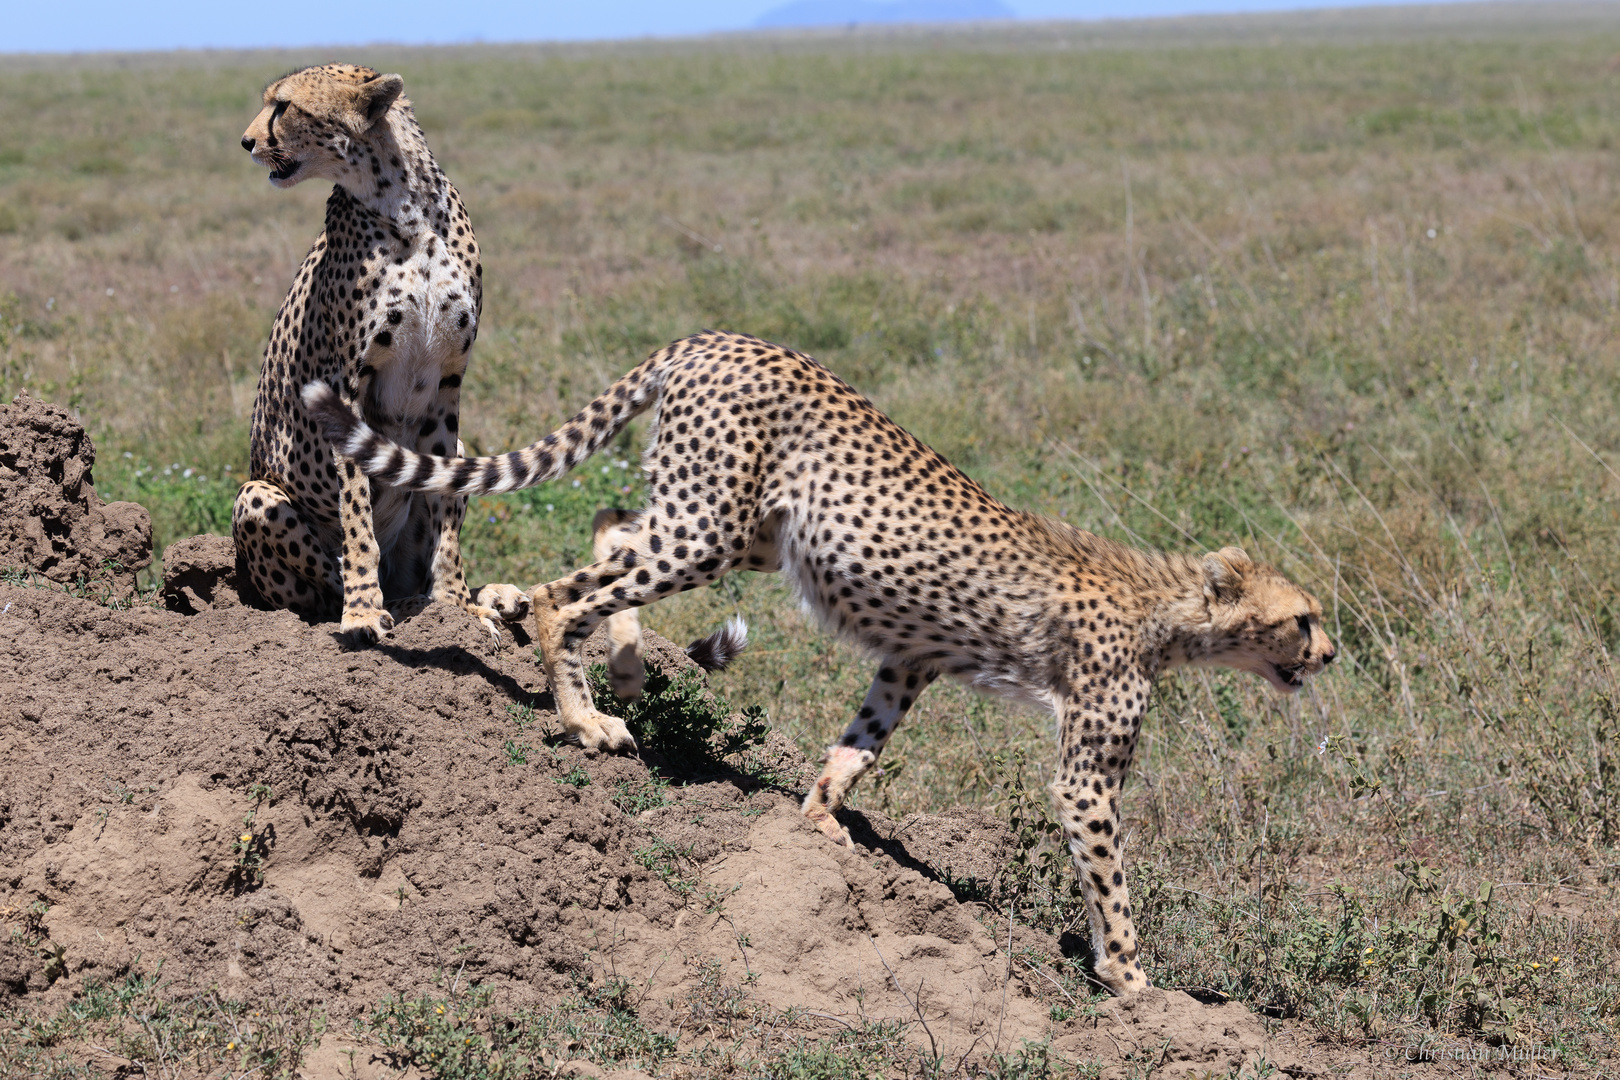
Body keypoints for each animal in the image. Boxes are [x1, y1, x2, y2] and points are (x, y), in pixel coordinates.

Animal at [231, 63, 524, 641]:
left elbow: (443, 525)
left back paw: (490, 597)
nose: (247, 141)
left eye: (284, 106)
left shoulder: (448, 385)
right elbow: (356, 514)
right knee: (328, 581)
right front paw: (365, 610)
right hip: (256, 495)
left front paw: (456, 606)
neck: (405, 209)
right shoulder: (346, 389)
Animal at [301, 330, 1328, 997]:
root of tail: (721, 335)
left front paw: (821, 822)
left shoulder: (908, 660)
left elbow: (856, 749)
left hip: (738, 527)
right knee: (577, 589)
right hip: (711, 526)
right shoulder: (1085, 772)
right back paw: (587, 713)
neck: (1170, 609)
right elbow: (1110, 871)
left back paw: (600, 658)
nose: (1332, 648)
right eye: (1302, 618)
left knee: (609, 528)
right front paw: (1131, 976)